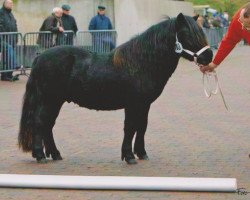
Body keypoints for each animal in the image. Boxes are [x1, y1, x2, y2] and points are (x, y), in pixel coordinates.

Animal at [18, 13, 212, 164]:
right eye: (187, 34)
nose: (209, 56)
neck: (141, 62)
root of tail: (39, 57)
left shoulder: (144, 104)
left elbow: (142, 126)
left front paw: (141, 153)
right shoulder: (133, 104)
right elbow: (130, 127)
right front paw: (129, 156)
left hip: (55, 101)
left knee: (48, 125)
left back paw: (55, 154)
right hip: (48, 99)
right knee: (40, 122)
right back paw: (40, 155)